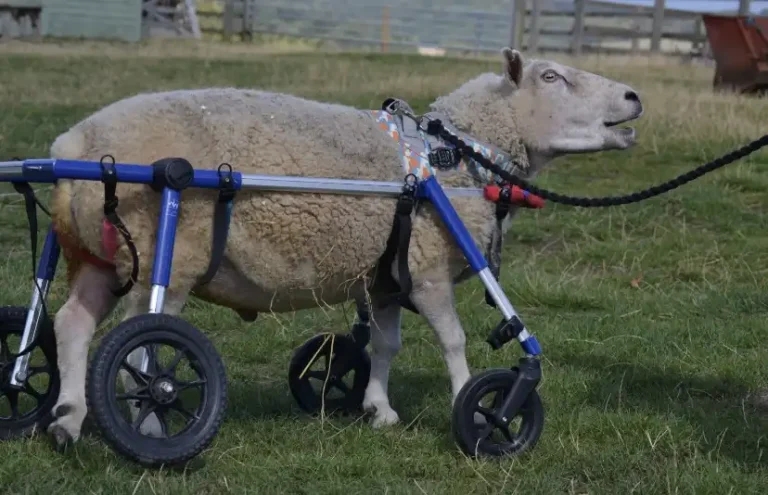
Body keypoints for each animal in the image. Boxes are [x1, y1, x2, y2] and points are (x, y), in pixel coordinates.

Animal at [44, 47, 643, 447]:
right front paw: (477, 411)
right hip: (161, 260)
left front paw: (377, 408)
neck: (457, 157)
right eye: (552, 76)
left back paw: (67, 418)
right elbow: (453, 341)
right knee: (138, 349)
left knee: (71, 323)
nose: (635, 97)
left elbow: (384, 345)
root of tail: (74, 143)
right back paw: (148, 424)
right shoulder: (427, 266)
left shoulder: (385, 276)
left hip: (98, 258)